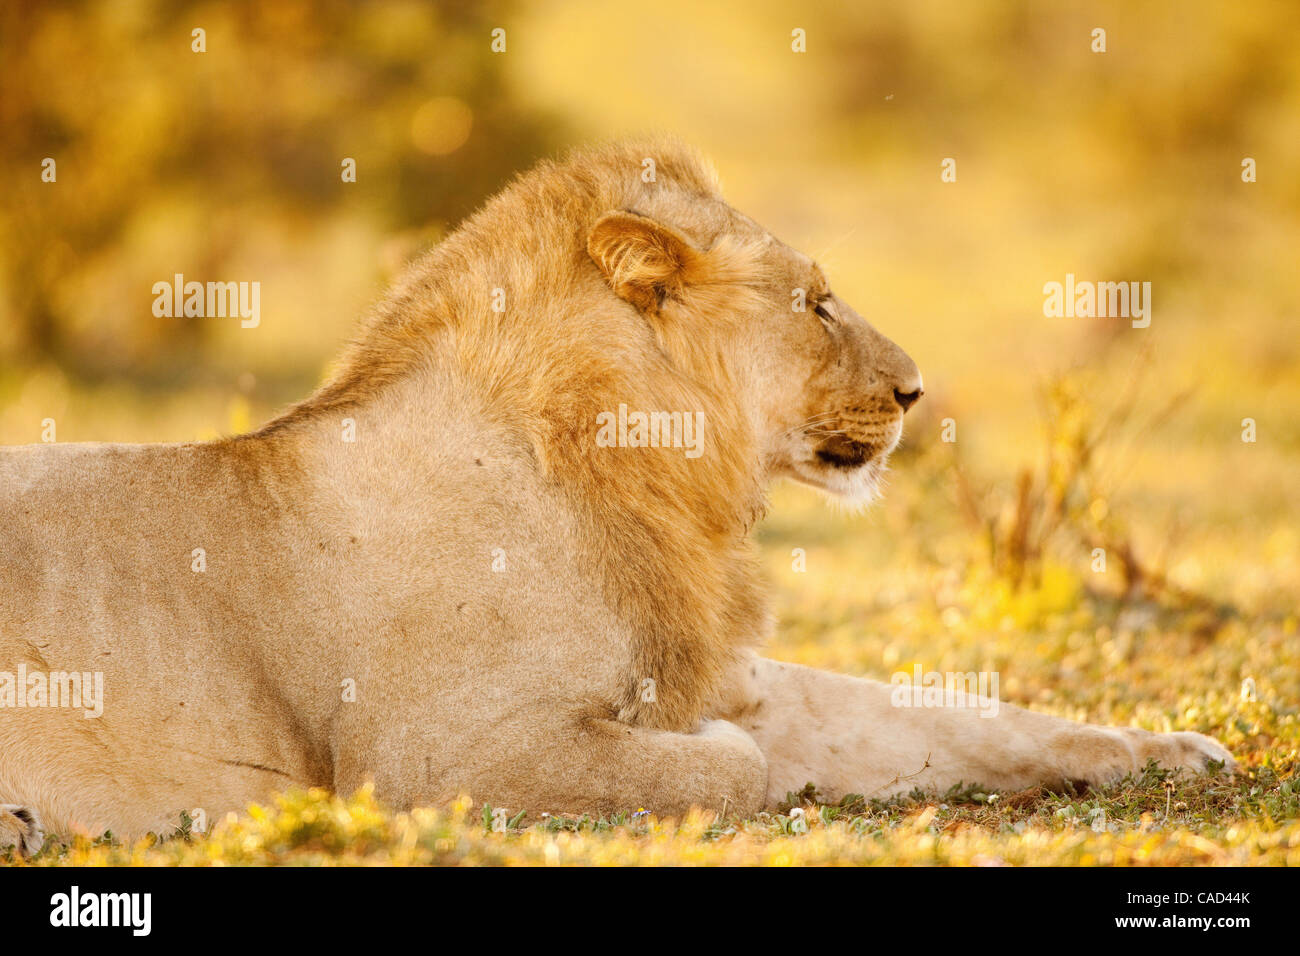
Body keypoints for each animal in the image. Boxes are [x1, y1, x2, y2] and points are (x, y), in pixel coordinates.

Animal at [0, 138, 1227, 858]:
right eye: (816, 303)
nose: (914, 389)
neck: (642, 479)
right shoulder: (437, 763)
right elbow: (729, 765)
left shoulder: (716, 666)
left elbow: (951, 714)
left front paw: (1180, 751)